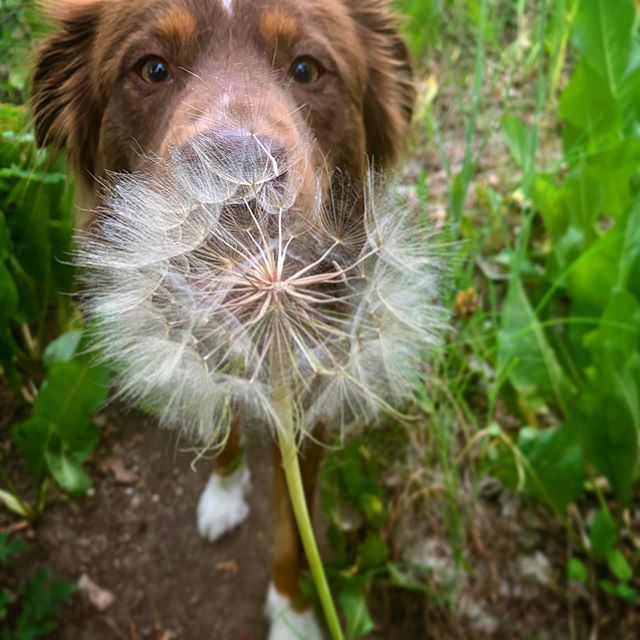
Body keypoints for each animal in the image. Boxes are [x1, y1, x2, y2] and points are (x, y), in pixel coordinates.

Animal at [31, 1, 416, 636]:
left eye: (307, 68)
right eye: (152, 68)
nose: (239, 173)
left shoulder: (313, 387)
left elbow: (294, 529)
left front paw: (293, 613)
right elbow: (225, 416)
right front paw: (226, 486)